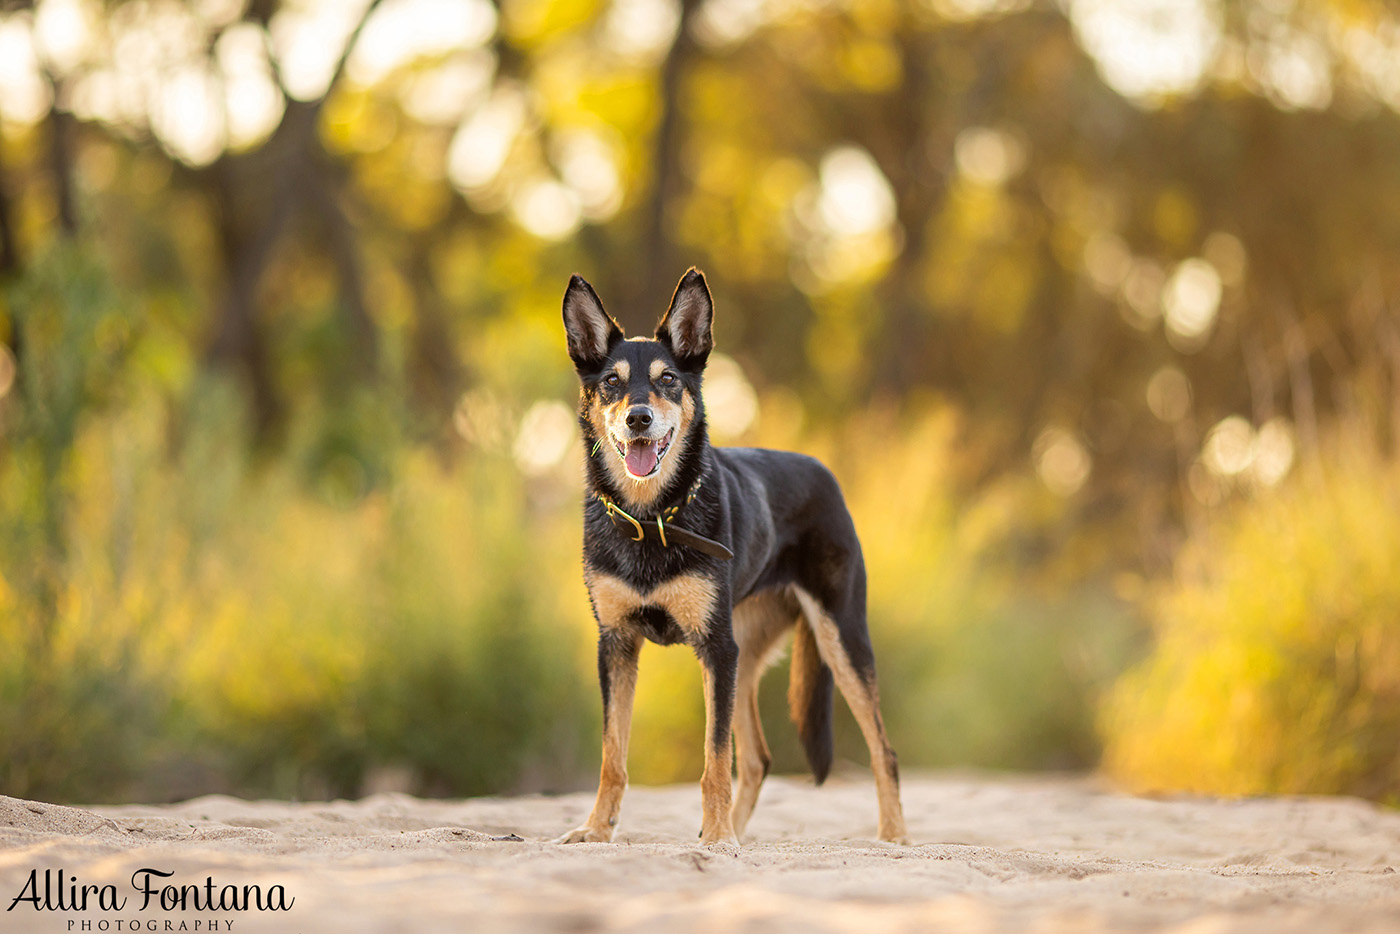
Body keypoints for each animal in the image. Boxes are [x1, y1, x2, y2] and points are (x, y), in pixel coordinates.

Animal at [557, 266, 907, 845]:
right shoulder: (617, 645)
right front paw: (596, 831)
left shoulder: (714, 650)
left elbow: (715, 759)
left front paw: (719, 836)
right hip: (745, 655)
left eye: (668, 380)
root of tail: (822, 471)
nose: (638, 418)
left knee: (884, 750)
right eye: (611, 382)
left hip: (837, 638)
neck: (653, 518)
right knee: (761, 759)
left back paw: (892, 836)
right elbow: (614, 757)